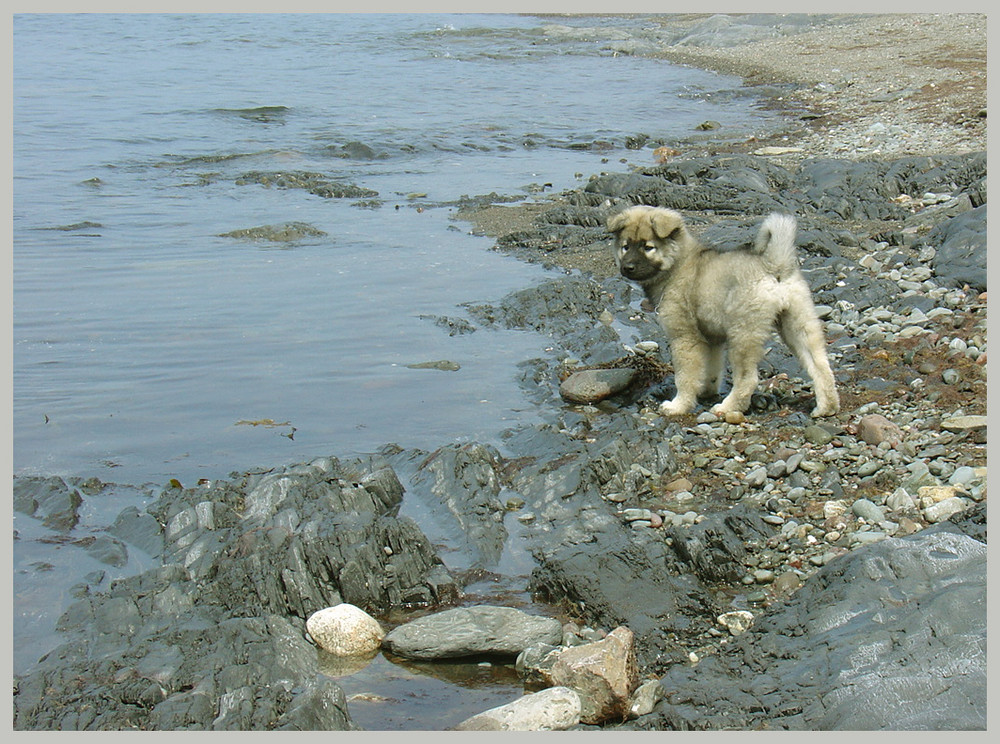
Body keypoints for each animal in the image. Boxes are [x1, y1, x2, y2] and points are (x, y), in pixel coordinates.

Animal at [604, 205, 840, 418]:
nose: (628, 268)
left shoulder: (684, 336)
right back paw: (826, 407)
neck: (677, 265)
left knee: (747, 378)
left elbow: (685, 376)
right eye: (625, 246)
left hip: (742, 334)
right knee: (820, 366)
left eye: (648, 247)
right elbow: (711, 369)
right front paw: (706, 391)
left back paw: (728, 407)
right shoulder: (712, 338)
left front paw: (679, 405)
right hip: (798, 325)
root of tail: (773, 264)